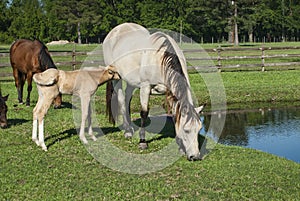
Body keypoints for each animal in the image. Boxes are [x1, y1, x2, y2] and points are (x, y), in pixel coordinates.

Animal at [103, 22, 204, 160]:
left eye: (199, 129)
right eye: (186, 130)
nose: (195, 156)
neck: (160, 59)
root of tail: (115, 31)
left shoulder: (170, 93)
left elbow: (175, 115)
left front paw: (180, 147)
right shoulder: (145, 88)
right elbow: (144, 113)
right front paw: (142, 142)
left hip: (131, 82)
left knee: (127, 98)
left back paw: (130, 127)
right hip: (116, 78)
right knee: (121, 100)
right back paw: (128, 131)